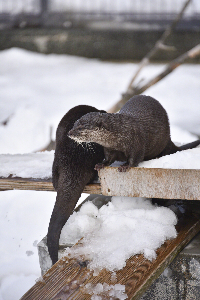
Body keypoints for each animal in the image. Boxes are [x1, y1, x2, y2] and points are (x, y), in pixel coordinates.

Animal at [68, 95, 200, 172]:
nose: (69, 133)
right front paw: (101, 164)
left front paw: (125, 166)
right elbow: (109, 158)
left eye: (81, 127)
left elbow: (135, 158)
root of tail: (169, 138)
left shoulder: (137, 143)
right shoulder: (109, 148)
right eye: (74, 124)